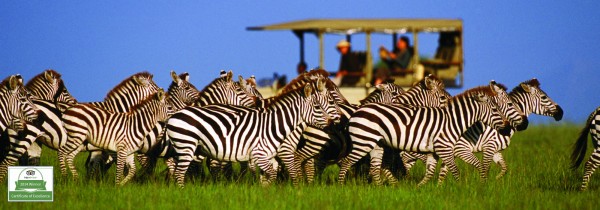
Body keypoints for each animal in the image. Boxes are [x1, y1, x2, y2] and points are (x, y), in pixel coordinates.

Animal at [166, 77, 340, 187]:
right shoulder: (264, 154)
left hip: (184, 149)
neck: (275, 125)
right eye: (318, 106)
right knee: (180, 173)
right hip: (187, 146)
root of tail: (174, 115)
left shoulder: (269, 157)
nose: (334, 123)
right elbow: (279, 174)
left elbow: (269, 176)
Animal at [340, 84, 512, 186]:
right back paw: (341, 185)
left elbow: (430, 172)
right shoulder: (444, 148)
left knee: (375, 167)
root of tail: (357, 111)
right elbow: (455, 170)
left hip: (377, 144)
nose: (507, 128)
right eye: (495, 109)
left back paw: (380, 188)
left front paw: (420, 189)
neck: (453, 121)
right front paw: (461, 189)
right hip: (364, 141)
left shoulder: (433, 151)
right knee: (347, 161)